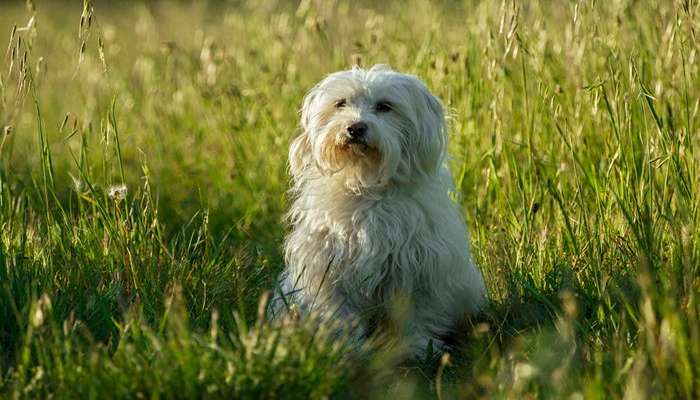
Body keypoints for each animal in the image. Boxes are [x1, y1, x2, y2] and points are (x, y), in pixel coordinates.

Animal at [268, 65, 486, 356]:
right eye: (340, 103)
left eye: (385, 106)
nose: (355, 127)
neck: (367, 188)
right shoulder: (330, 268)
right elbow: (340, 314)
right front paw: (346, 346)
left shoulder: (419, 268)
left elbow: (417, 312)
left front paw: (419, 345)